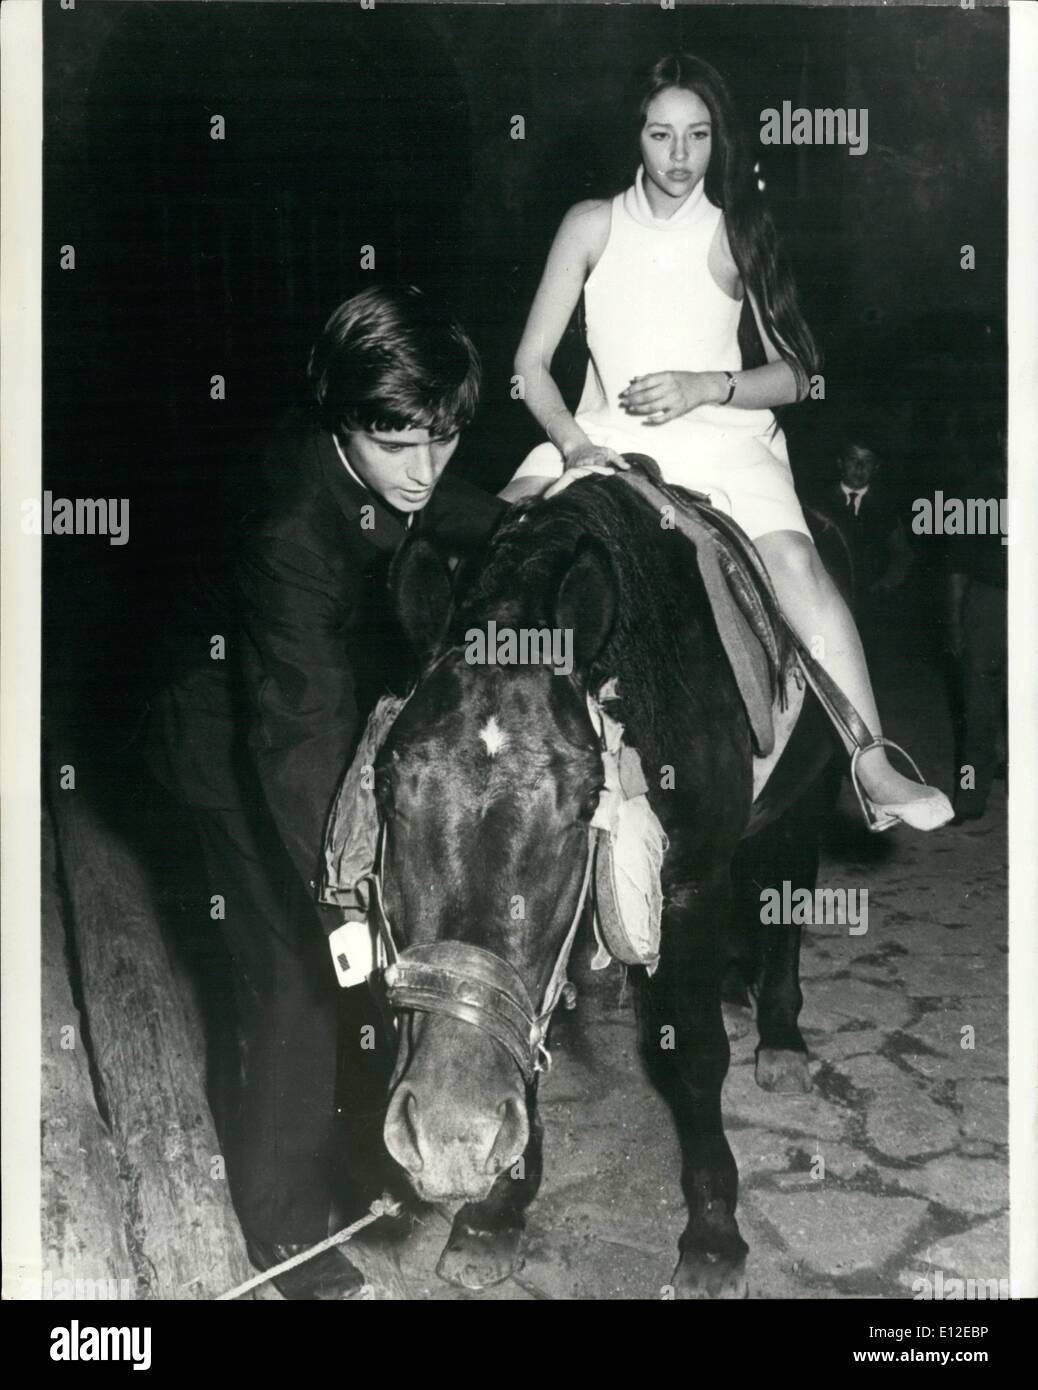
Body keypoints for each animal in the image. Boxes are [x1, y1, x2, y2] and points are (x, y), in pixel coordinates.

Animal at [377, 472, 839, 1295]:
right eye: (390, 789)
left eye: (584, 802)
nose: (449, 1132)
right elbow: (525, 1024)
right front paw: (496, 1212)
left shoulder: (688, 887)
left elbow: (696, 1057)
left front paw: (714, 1235)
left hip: (800, 804)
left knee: (787, 896)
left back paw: (781, 1034)